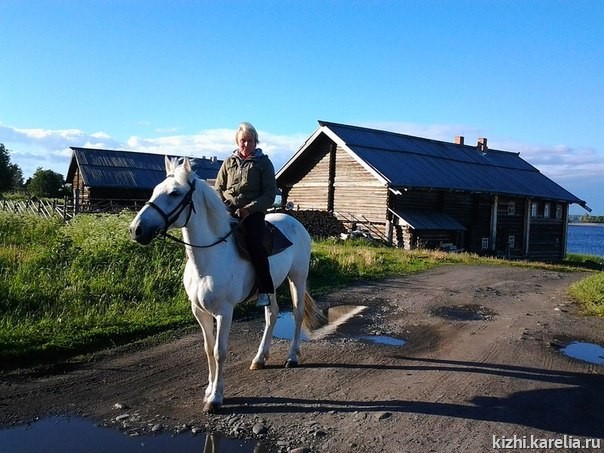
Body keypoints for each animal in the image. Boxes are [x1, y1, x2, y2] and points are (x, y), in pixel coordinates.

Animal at [129, 157, 324, 413]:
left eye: (174, 193)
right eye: (154, 190)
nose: (136, 230)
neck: (209, 259)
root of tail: (296, 223)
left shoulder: (224, 312)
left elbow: (220, 352)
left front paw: (215, 398)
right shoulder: (199, 311)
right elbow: (208, 350)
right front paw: (208, 390)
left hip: (297, 278)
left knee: (298, 313)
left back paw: (292, 357)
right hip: (270, 286)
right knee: (272, 315)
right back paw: (260, 358)